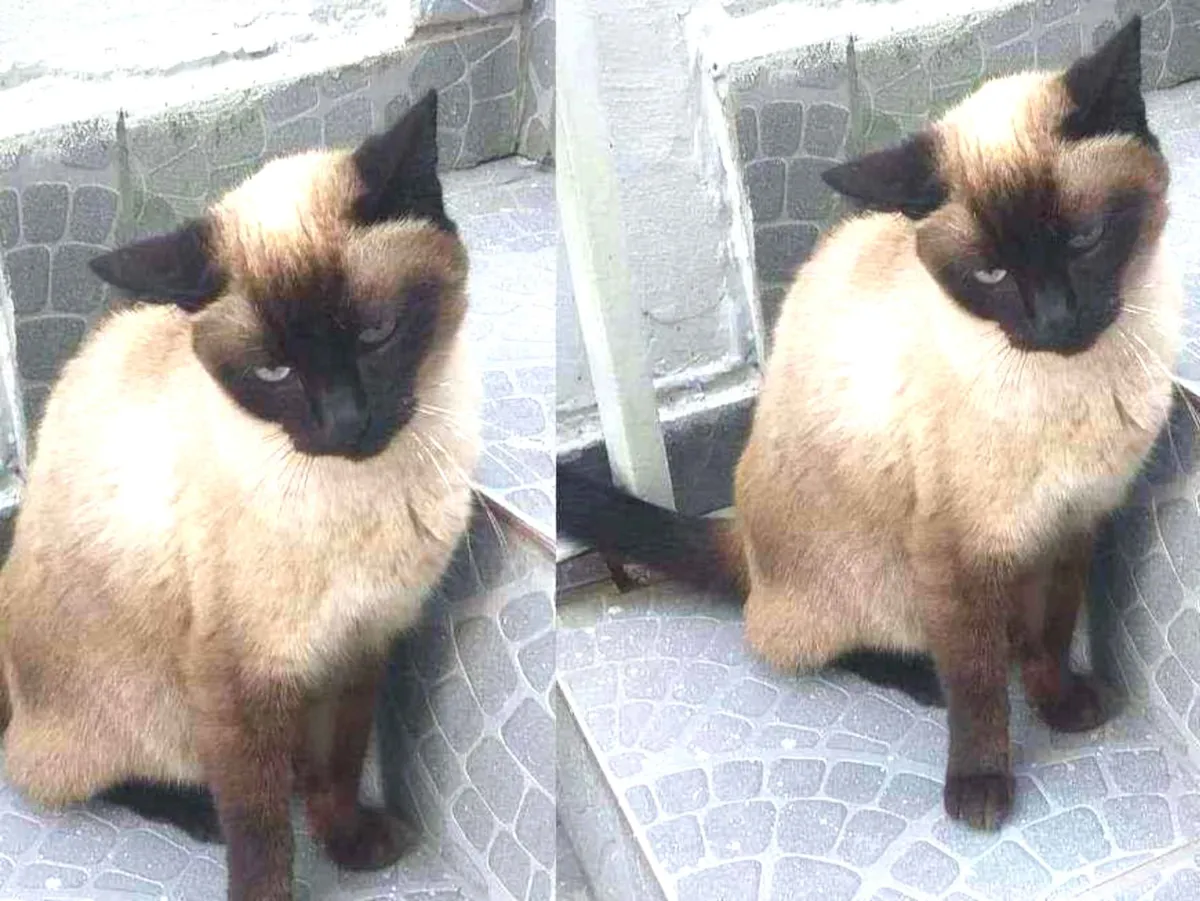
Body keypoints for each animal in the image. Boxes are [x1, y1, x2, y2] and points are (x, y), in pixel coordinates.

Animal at [0, 90, 481, 900]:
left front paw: (350, 846)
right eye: (275, 373)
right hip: (146, 705)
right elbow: (258, 828)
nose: (346, 423)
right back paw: (196, 811)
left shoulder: (359, 647)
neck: (366, 498)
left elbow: (338, 768)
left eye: (376, 334)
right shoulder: (237, 676)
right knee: (57, 771)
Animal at [557, 15, 1182, 831]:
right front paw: (980, 788)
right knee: (791, 636)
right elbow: (978, 684)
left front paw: (1063, 707)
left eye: (1082, 240)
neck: (1077, 387)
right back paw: (918, 677)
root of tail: (744, 538)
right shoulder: (954, 552)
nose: (1056, 321)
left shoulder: (1074, 523)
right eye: (991, 275)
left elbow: (1050, 634)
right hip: (876, 581)